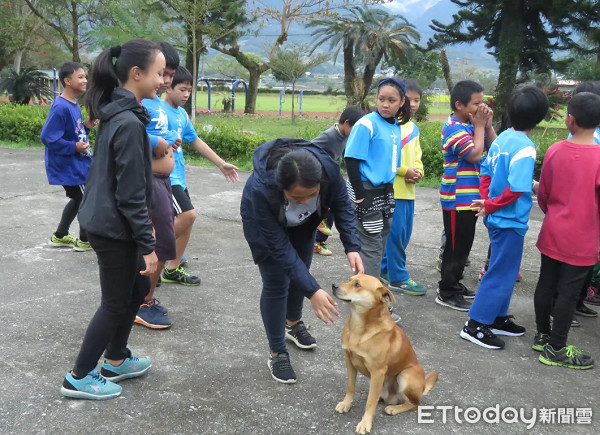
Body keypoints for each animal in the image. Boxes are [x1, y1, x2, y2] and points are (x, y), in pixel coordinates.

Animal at [330, 278, 438, 434]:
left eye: (357, 284)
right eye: (350, 279)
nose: (334, 285)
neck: (360, 326)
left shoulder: (378, 372)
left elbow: (370, 403)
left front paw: (365, 423)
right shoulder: (349, 361)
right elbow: (350, 387)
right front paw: (346, 404)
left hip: (406, 375)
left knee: (414, 403)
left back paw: (394, 408)